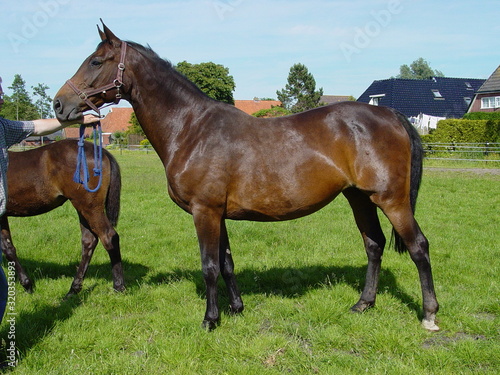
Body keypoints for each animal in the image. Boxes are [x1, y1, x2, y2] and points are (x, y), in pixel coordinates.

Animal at [1, 140, 125, 298]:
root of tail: (101, 151)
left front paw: (27, 284)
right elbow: (8, 248)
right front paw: (27, 284)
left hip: (90, 208)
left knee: (108, 237)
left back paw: (119, 286)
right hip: (83, 208)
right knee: (89, 241)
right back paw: (73, 289)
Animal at [52, 22, 440, 332]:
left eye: (96, 61)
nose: (59, 105)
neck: (191, 129)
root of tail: (391, 114)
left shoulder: (204, 211)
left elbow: (209, 266)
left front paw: (210, 320)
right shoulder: (218, 213)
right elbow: (226, 263)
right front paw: (236, 309)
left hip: (392, 200)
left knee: (419, 247)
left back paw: (429, 314)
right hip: (360, 198)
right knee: (374, 245)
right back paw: (363, 304)